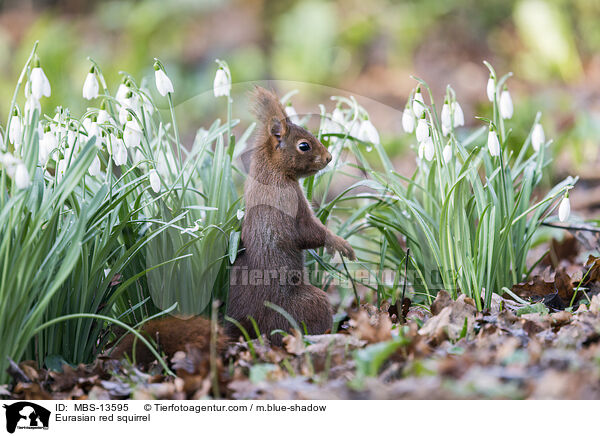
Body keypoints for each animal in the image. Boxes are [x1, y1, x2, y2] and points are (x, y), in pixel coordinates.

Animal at [111, 87, 356, 362]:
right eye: (304, 145)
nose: (329, 157)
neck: (272, 172)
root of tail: (245, 330)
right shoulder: (290, 203)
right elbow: (309, 233)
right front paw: (340, 244)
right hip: (311, 304)